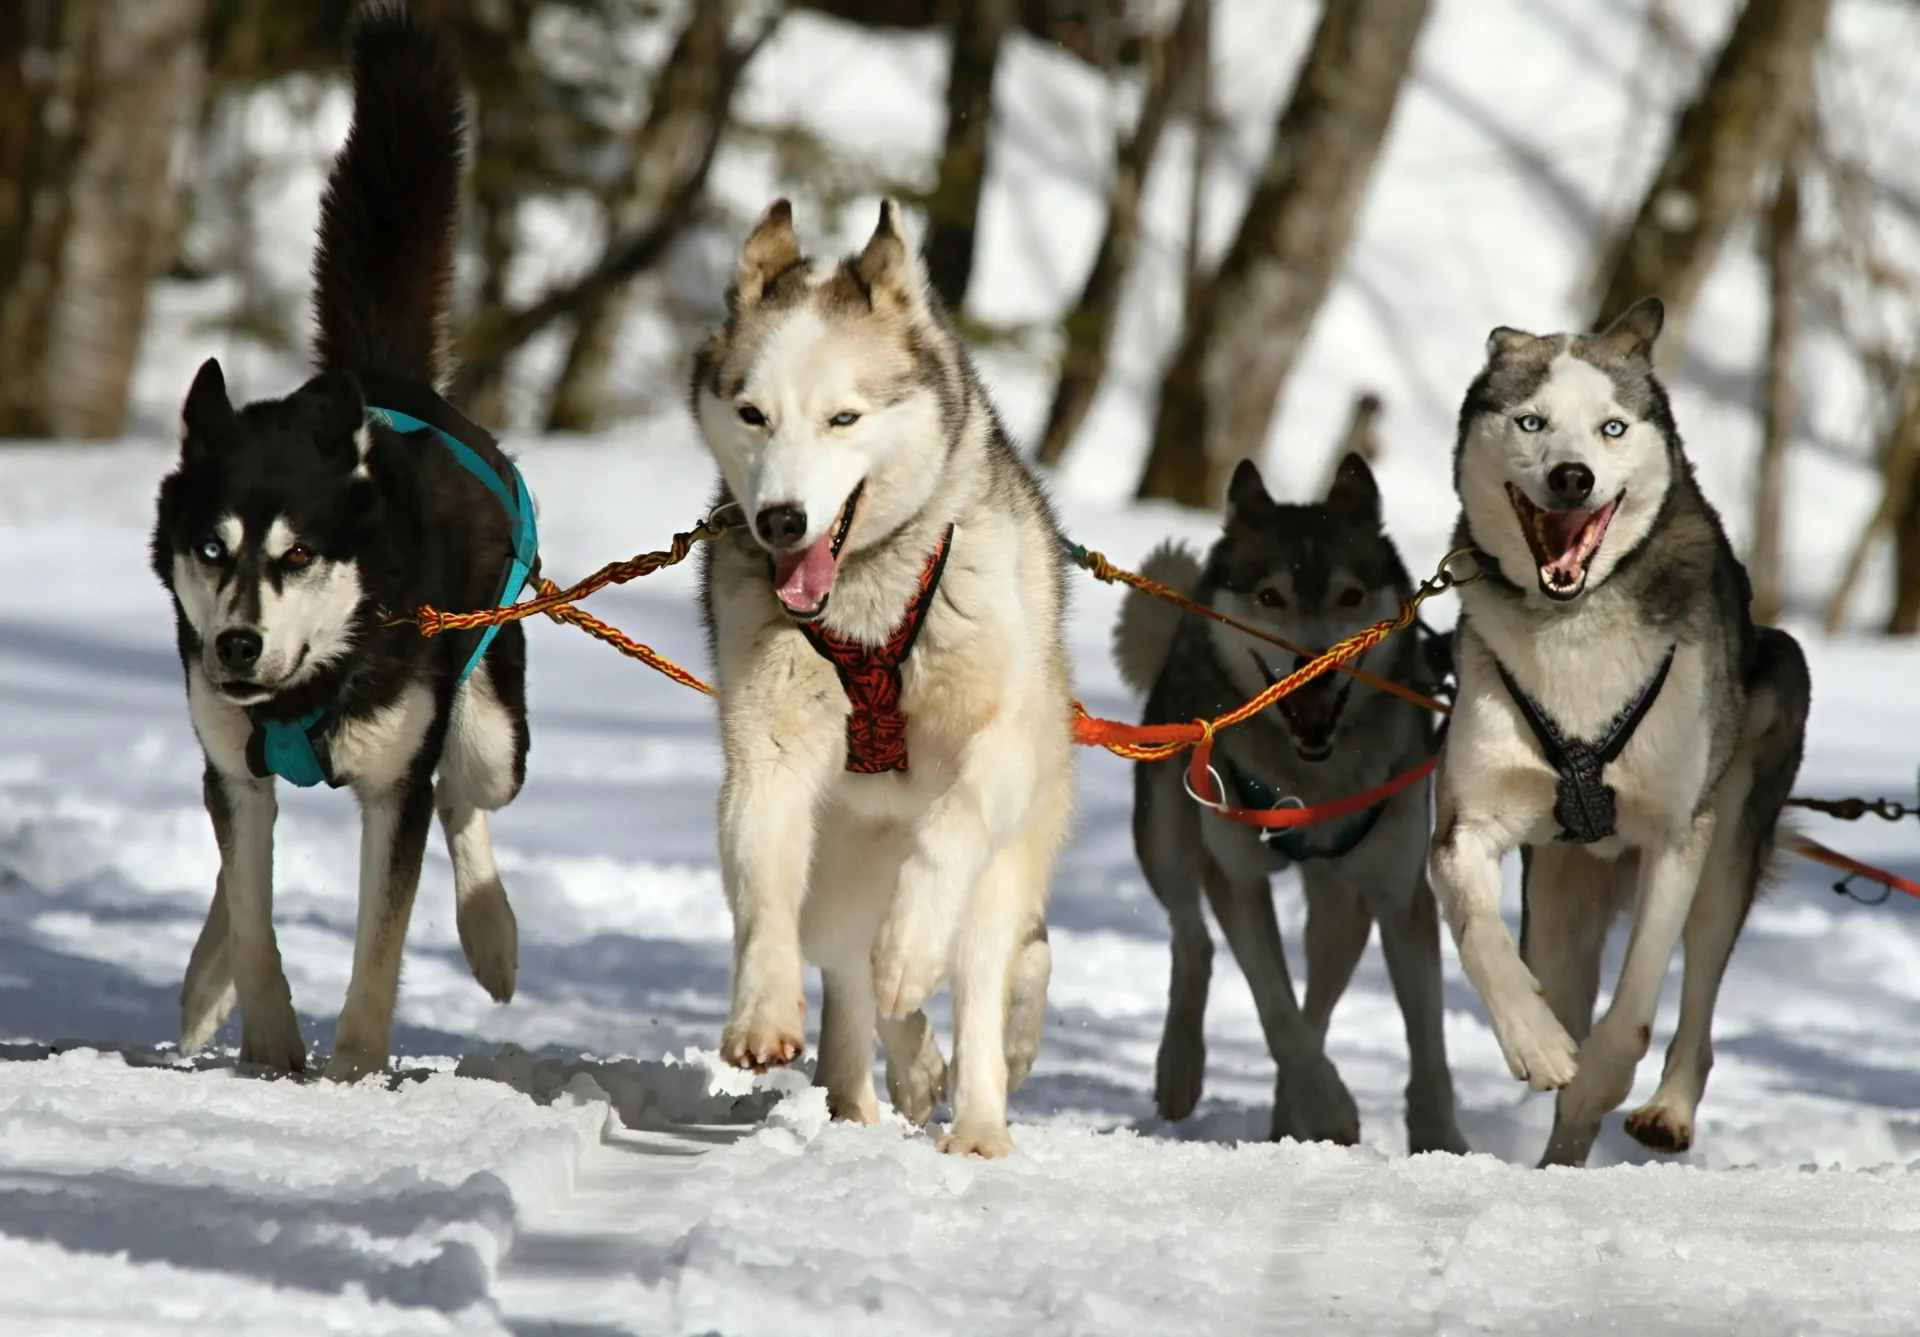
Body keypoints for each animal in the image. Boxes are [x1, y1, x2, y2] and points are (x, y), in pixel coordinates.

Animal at [148, 5, 533, 1083]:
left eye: (297, 554)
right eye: (212, 549)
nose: (237, 643)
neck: (310, 684)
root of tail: (385, 379)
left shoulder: (393, 786)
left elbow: (380, 942)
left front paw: (356, 1068)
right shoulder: (235, 762)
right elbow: (251, 909)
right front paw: (271, 1046)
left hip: (492, 727)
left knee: (466, 795)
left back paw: (492, 935)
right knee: (235, 860)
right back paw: (205, 983)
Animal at [698, 198, 1075, 1160]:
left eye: (844, 417)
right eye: (751, 413)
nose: (780, 519)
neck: (866, 606)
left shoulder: (997, 749)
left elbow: (950, 831)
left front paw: (911, 947)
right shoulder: (768, 755)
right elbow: (763, 892)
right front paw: (762, 1012)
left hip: (1005, 863)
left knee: (982, 973)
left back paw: (975, 1120)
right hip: (836, 874)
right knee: (850, 975)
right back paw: (877, 1085)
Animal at [1121, 457, 1459, 1152]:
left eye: (1350, 597)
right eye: (1270, 597)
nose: (1315, 666)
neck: (1310, 778)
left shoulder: (1398, 893)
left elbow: (1426, 1042)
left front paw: (1441, 1141)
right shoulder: (1237, 877)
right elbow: (1275, 1011)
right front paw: (1329, 1108)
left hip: (1342, 902)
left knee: (1320, 999)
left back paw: (1287, 1117)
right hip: (1166, 835)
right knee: (1192, 940)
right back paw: (1181, 1069)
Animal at [1436, 297, 1804, 1167]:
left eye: (1611, 427)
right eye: (1531, 421)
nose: (1572, 475)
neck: (1574, 629)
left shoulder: (1676, 833)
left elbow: (1634, 1009)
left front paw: (1599, 1077)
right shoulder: (1468, 822)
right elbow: (1479, 932)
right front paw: (1535, 1041)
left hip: (1731, 836)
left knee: (1697, 995)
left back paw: (1665, 1108)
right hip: (1558, 895)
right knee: (1561, 978)